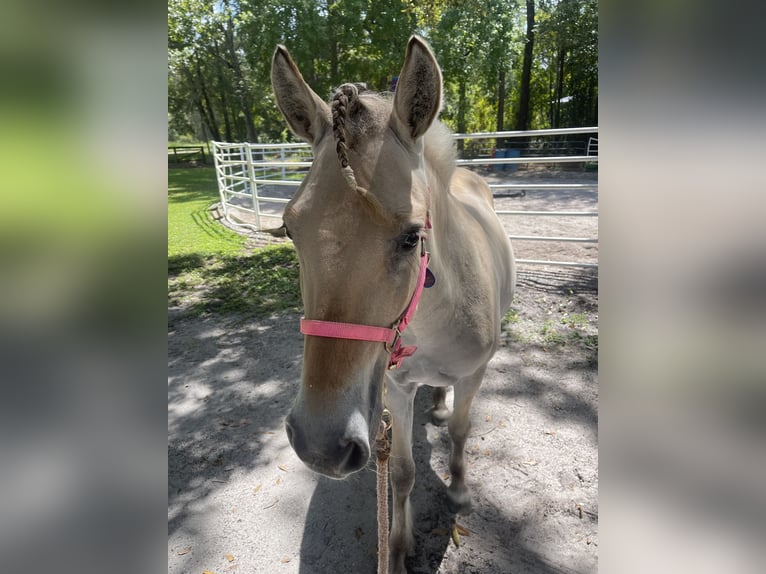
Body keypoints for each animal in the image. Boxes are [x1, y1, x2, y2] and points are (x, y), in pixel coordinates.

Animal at [271, 36, 515, 573]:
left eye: (411, 236)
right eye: (290, 229)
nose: (320, 444)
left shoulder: (475, 374)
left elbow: (462, 431)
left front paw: (460, 490)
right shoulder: (396, 389)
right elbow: (401, 472)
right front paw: (399, 548)